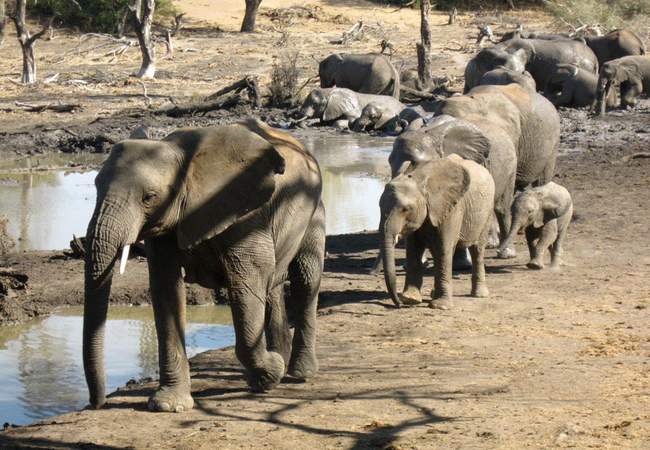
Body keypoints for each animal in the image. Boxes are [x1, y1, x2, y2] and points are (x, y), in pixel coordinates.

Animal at [82, 118, 324, 412]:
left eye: (149, 197)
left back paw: (299, 372)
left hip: (314, 207)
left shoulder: (246, 213)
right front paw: (169, 406)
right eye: (95, 187)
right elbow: (166, 289)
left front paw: (272, 373)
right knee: (273, 285)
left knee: (305, 279)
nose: (97, 403)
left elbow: (246, 283)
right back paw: (276, 362)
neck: (178, 153)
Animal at [378, 155, 494, 310]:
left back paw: (479, 294)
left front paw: (440, 306)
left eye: (405, 209)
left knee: (477, 249)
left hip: (487, 211)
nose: (398, 303)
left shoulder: (452, 208)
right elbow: (414, 248)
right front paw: (410, 299)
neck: (418, 180)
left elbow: (444, 247)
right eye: (379, 206)